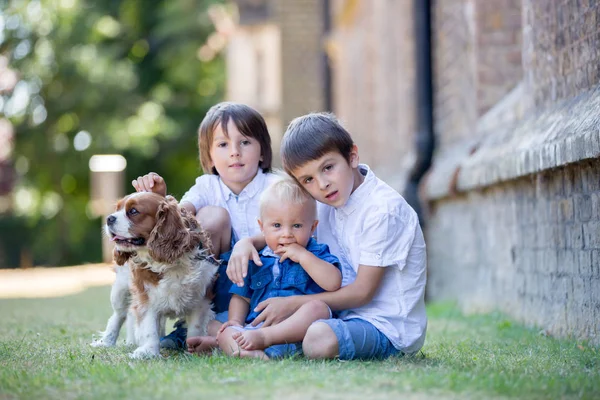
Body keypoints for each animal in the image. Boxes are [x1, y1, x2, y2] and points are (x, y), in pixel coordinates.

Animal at [91, 192, 218, 358]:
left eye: (133, 211)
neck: (169, 262)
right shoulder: (145, 297)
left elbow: (195, 328)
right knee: (117, 316)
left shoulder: (201, 298)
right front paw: (148, 352)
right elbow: (149, 327)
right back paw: (106, 341)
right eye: (117, 209)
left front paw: (194, 351)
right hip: (120, 291)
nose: (109, 218)